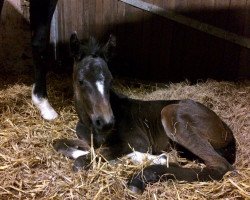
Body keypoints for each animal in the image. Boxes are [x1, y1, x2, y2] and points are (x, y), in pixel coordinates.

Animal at [52, 32, 236, 194]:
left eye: (111, 80)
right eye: (81, 81)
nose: (106, 122)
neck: (91, 126)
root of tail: (226, 129)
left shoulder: (138, 142)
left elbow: (85, 159)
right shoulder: (88, 141)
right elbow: (59, 143)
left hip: (171, 113)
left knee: (220, 165)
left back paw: (140, 177)